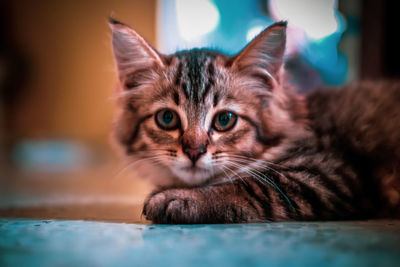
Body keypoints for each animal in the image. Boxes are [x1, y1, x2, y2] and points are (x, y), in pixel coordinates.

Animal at [109, 17, 400, 225]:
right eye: (167, 118)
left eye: (225, 120)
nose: (194, 151)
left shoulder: (330, 172)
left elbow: (253, 185)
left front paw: (180, 198)